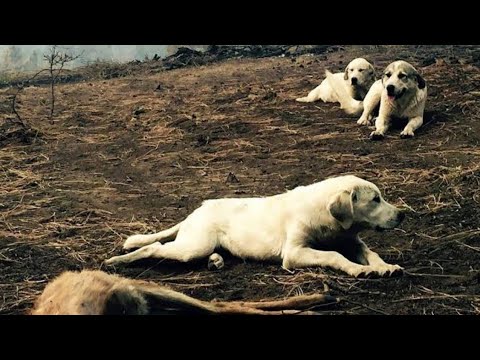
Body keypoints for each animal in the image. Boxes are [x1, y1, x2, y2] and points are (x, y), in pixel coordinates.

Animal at [105, 174, 404, 278]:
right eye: (375, 199)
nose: (401, 215)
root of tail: (196, 212)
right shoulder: (294, 253)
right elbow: (333, 256)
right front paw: (358, 270)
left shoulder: (352, 241)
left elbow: (371, 253)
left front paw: (386, 266)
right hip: (193, 246)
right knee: (154, 246)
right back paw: (118, 261)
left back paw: (216, 261)